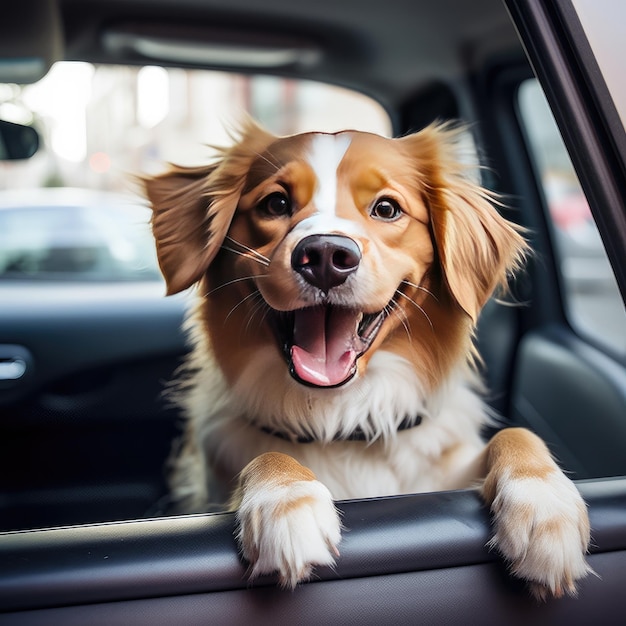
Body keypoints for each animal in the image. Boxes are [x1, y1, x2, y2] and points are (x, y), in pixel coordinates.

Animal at [145, 118, 588, 600]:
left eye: (387, 209)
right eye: (275, 203)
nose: (324, 255)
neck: (341, 419)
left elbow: (516, 433)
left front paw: (545, 502)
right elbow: (264, 454)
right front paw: (286, 498)